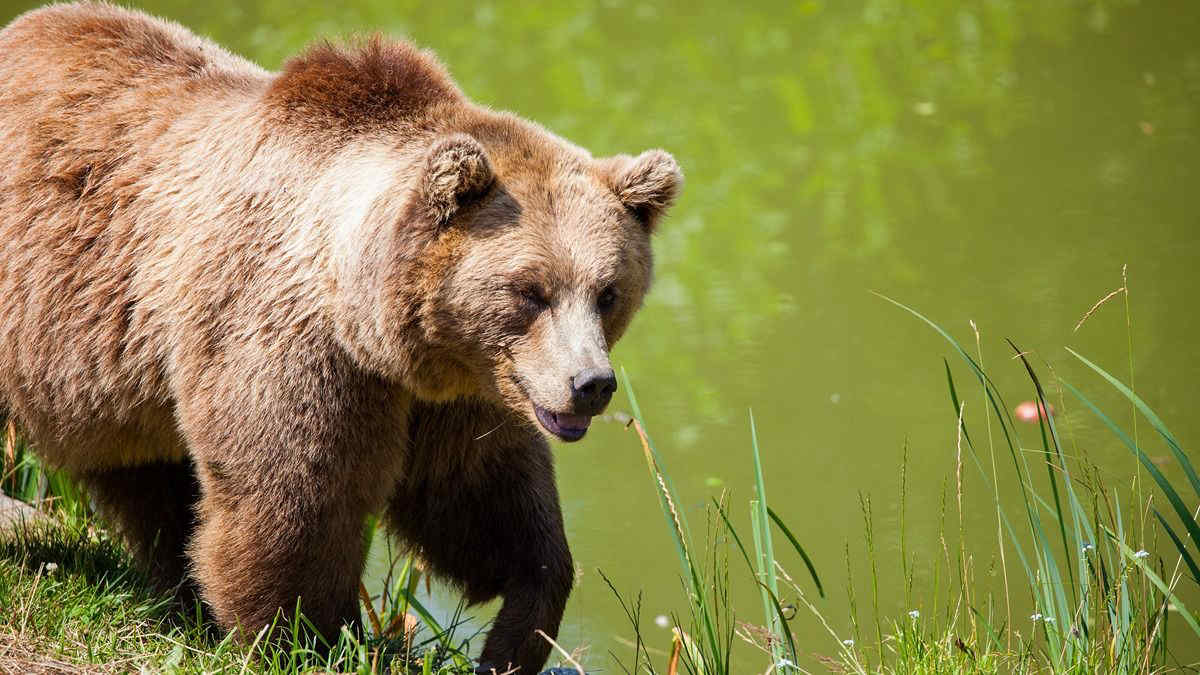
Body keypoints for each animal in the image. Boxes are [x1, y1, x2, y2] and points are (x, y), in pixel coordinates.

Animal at [0, 2, 681, 667]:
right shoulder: (289, 342)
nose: (590, 383)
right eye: (530, 291)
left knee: (146, 476)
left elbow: (481, 497)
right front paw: (312, 638)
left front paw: (516, 631)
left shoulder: (462, 389)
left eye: (607, 291)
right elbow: (295, 505)